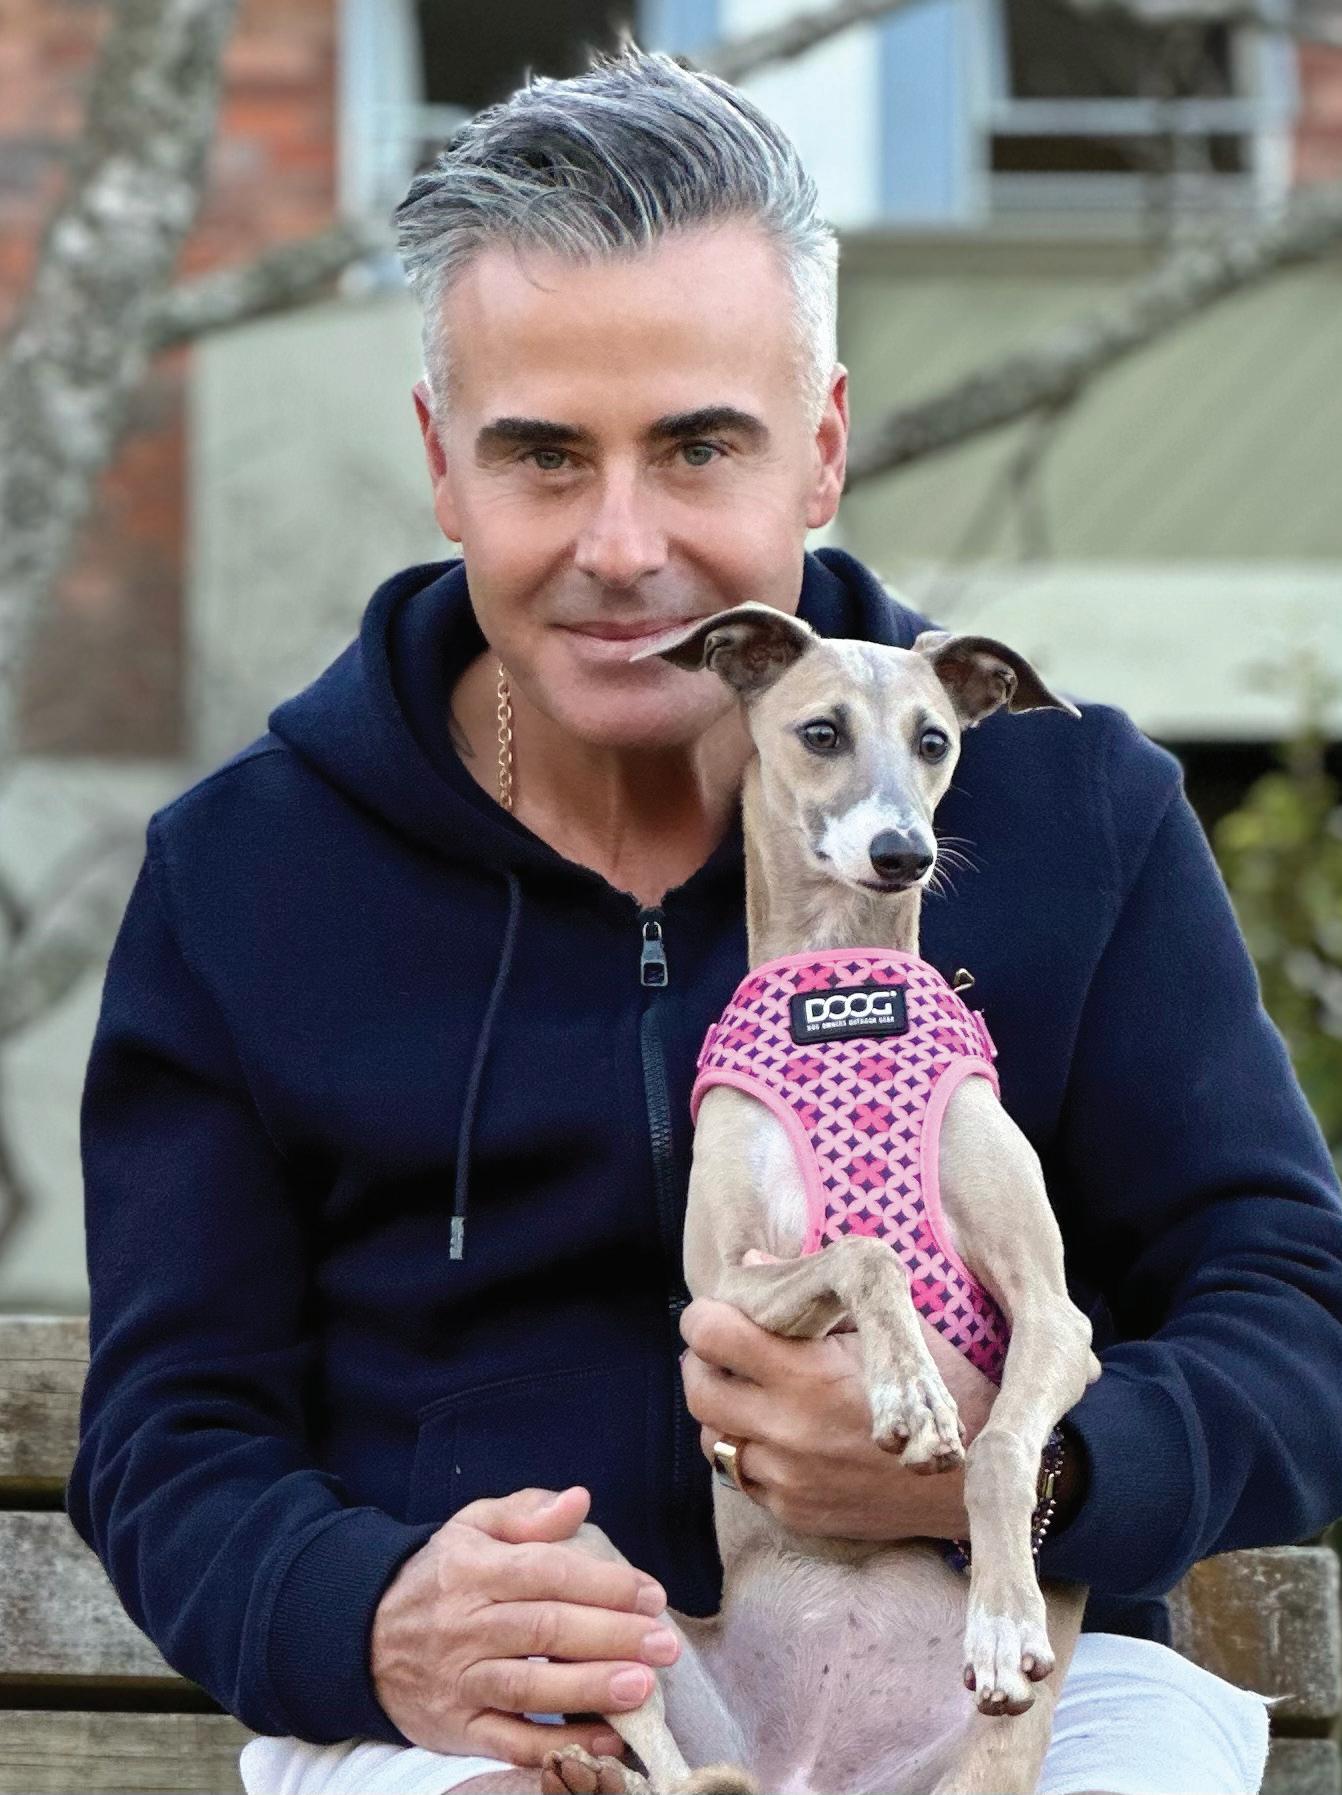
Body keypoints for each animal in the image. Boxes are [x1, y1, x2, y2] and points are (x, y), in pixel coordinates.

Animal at [538, 604, 1100, 1795]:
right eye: (821, 732)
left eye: (934, 740)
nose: (903, 853)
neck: (846, 997)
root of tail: (810, 1769)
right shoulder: (719, 1294)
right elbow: (864, 1252)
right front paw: (909, 1389)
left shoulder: (1053, 1314)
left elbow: (996, 1449)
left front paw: (998, 1615)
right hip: (584, 1561)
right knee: (666, 1755)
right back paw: (594, 1768)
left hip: (992, 1757)